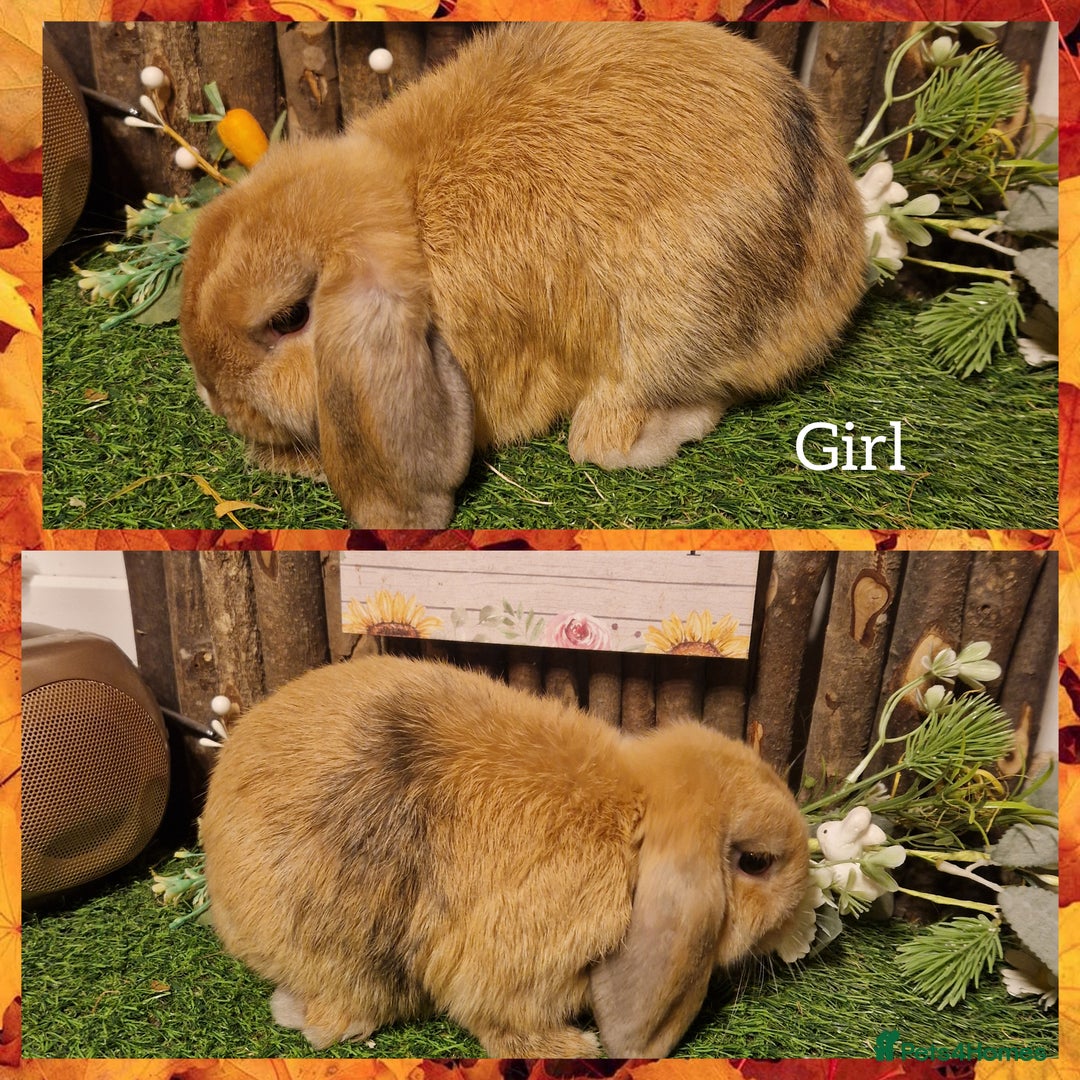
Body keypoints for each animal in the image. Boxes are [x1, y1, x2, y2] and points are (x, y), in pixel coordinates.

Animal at [199, 654, 809, 1058]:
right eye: (757, 862)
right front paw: (576, 1048)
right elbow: (502, 1020)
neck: (630, 829)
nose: (803, 910)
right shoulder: (517, 965)